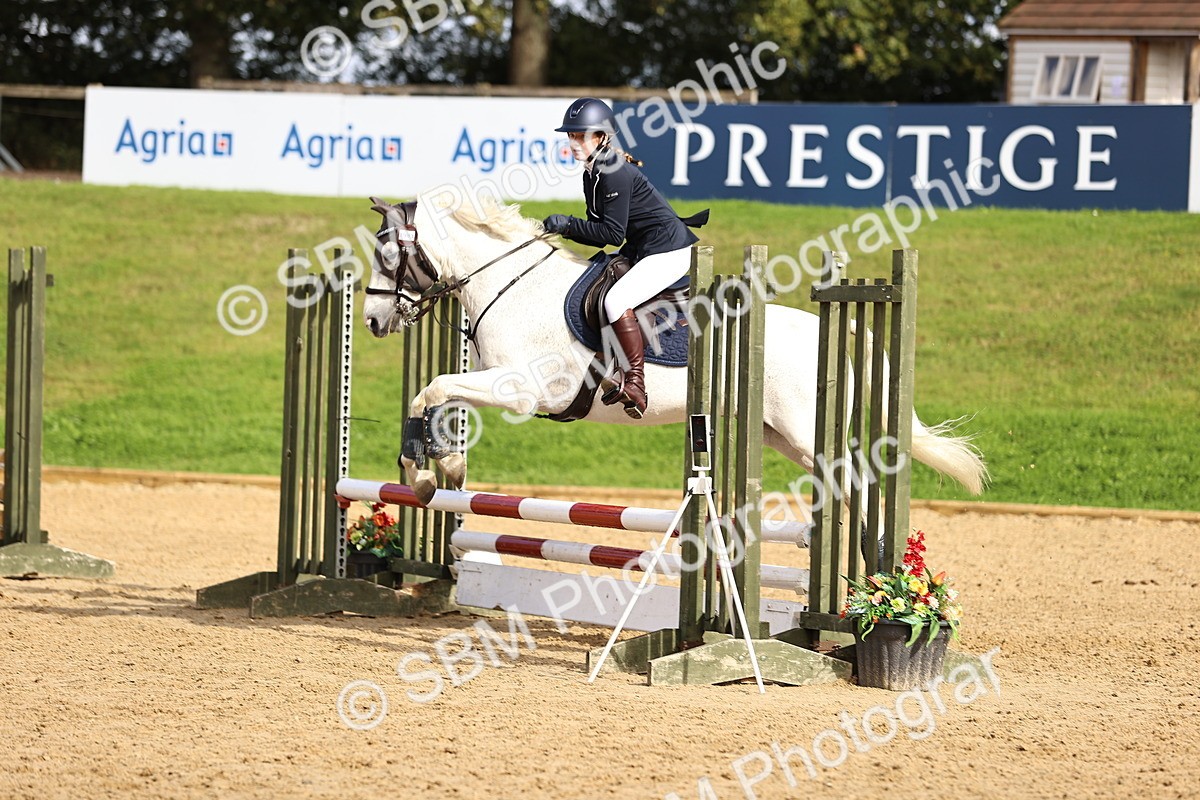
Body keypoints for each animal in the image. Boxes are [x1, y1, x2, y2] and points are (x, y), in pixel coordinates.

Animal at [361, 192, 987, 525]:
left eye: (390, 256)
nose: (370, 320)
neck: (511, 283)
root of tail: (838, 324)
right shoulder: (494, 381)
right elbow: (436, 394)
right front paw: (446, 469)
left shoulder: (521, 390)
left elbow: (434, 388)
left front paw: (424, 474)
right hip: (782, 436)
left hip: (805, 433)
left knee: (857, 482)